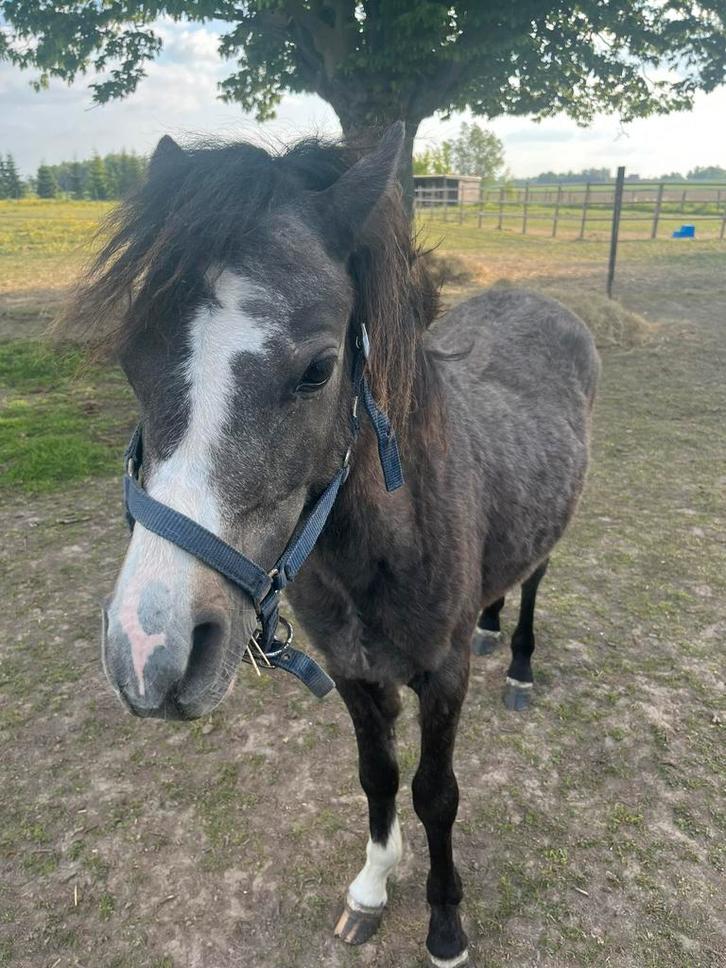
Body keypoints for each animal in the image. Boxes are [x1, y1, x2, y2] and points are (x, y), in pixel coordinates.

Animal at [75, 123, 599, 967]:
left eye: (318, 369)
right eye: (130, 357)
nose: (147, 649)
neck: (382, 549)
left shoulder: (441, 678)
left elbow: (436, 795)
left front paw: (445, 923)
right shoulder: (353, 674)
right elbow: (377, 778)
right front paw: (371, 889)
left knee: (535, 580)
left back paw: (516, 661)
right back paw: (490, 627)